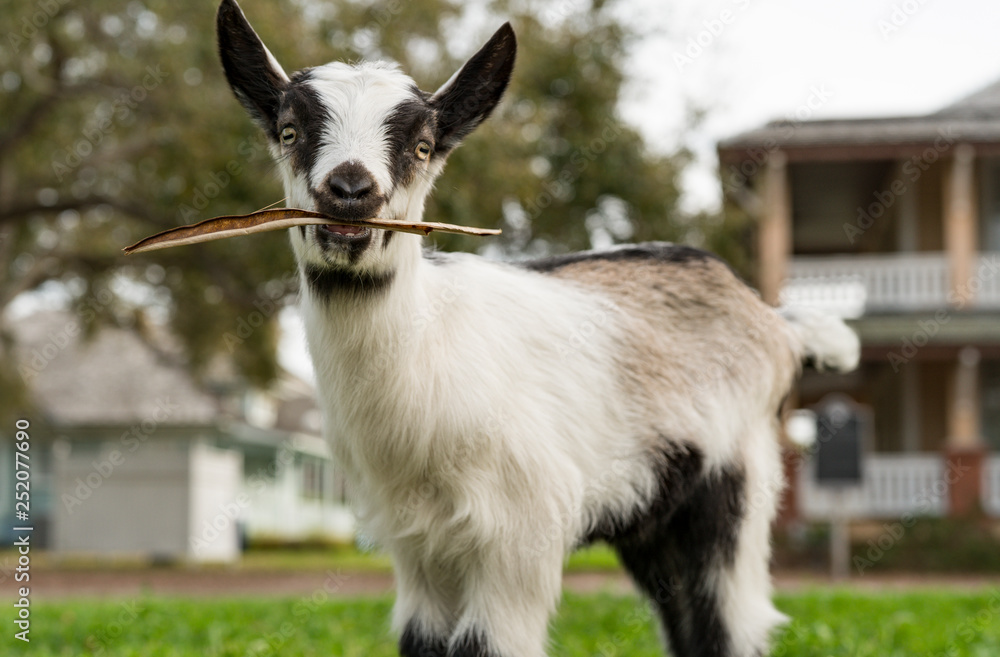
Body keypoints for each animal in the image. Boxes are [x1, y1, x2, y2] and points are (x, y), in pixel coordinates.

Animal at [217, 2, 860, 652]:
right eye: (289, 132)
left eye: (422, 146)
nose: (349, 191)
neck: (431, 350)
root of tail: (774, 320)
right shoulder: (416, 543)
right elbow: (421, 641)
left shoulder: (519, 532)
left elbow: (487, 643)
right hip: (649, 514)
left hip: (734, 484)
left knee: (727, 623)